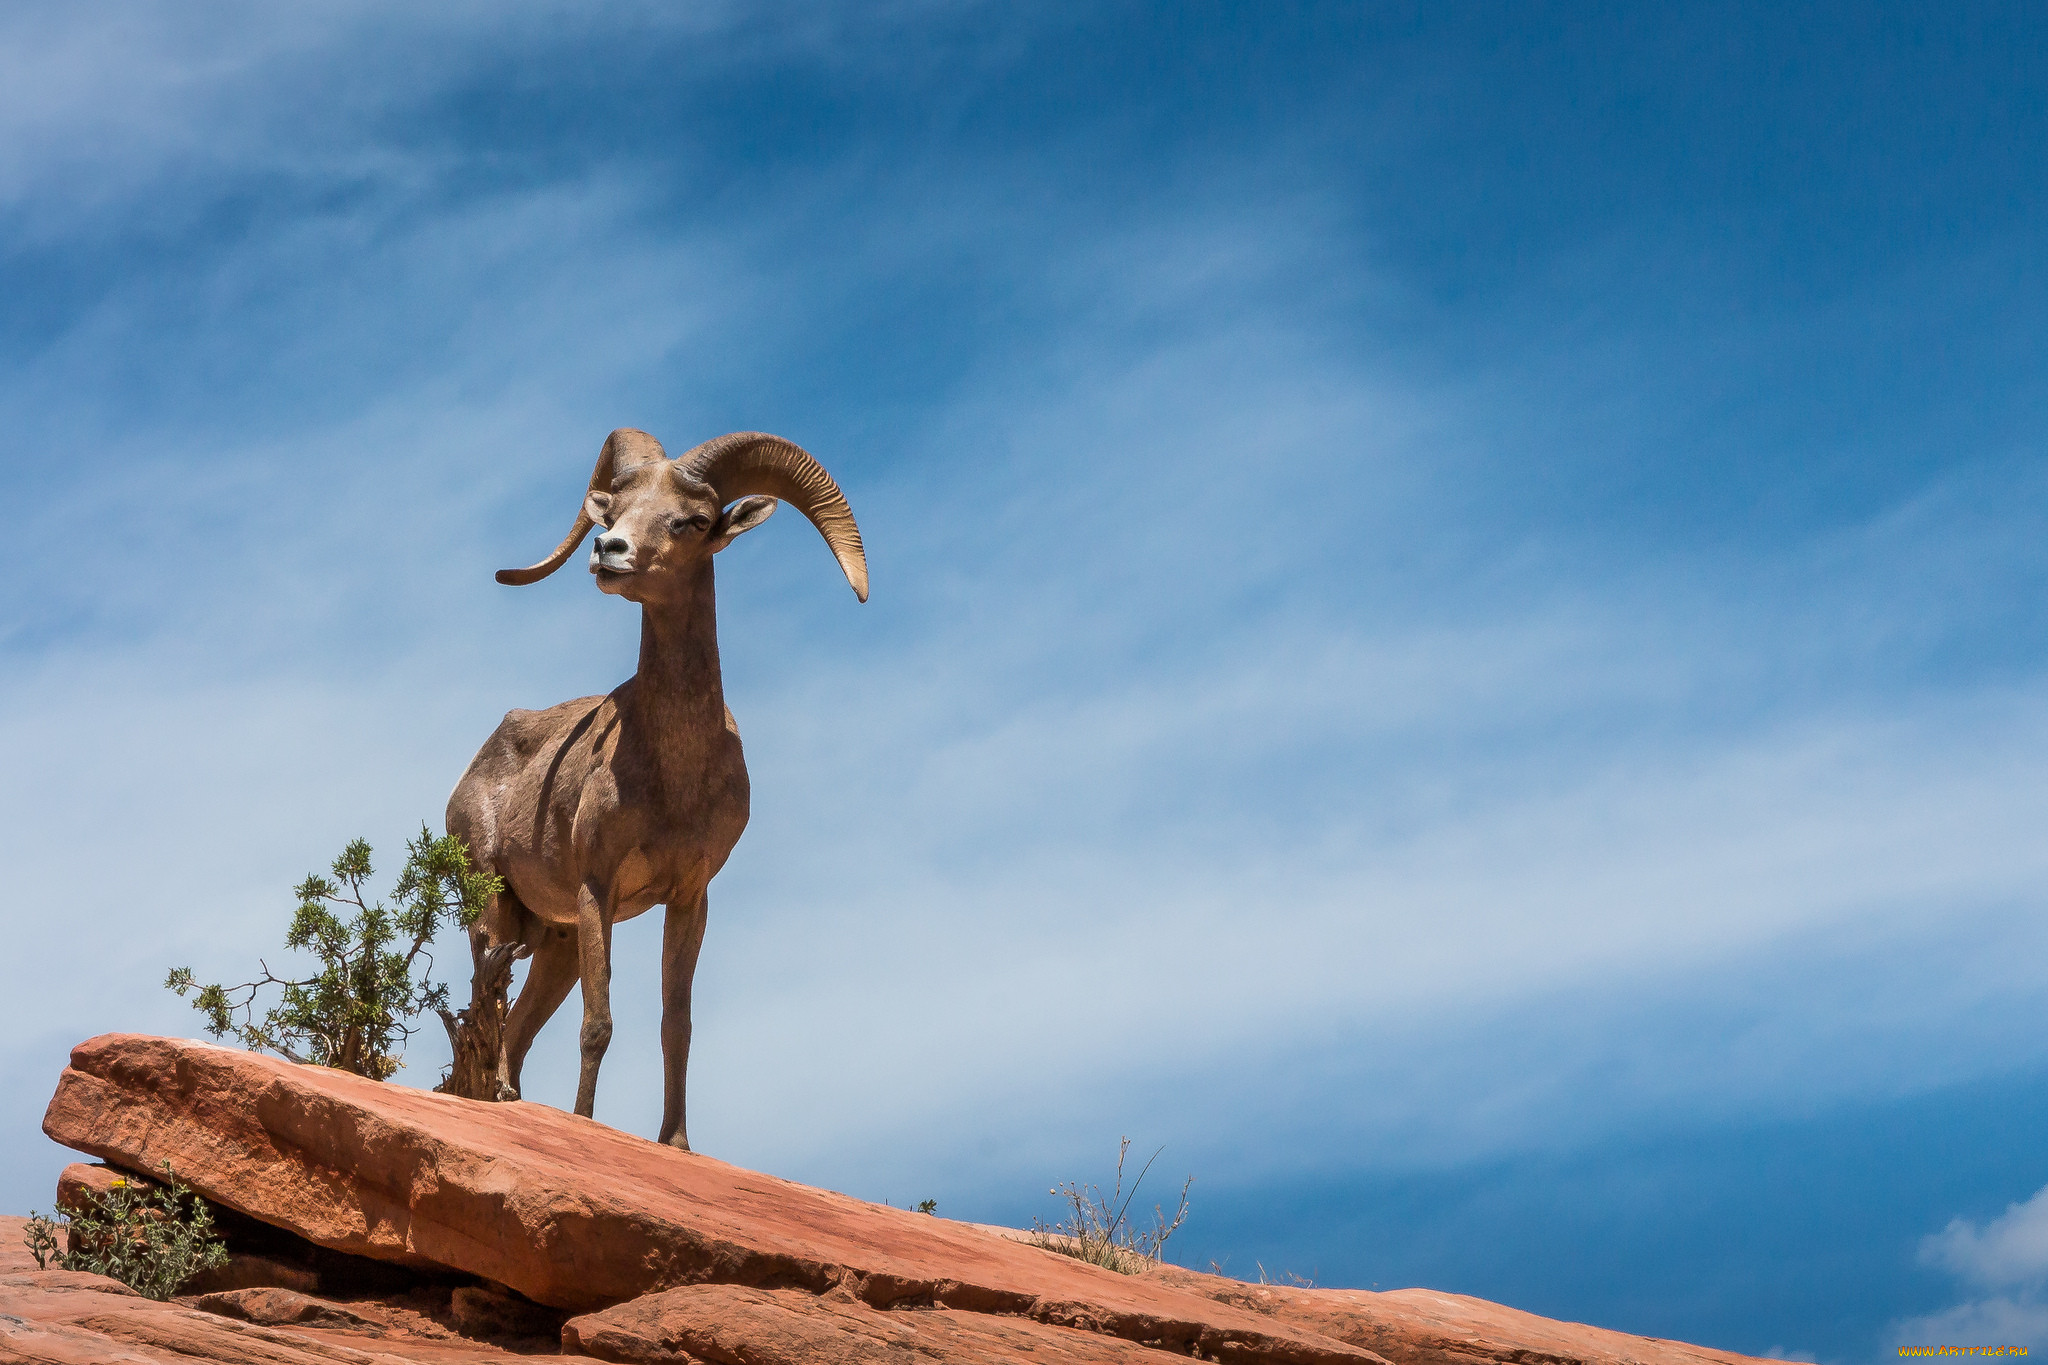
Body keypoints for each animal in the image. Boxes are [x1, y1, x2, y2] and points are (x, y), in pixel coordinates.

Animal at [448, 423, 864, 1146]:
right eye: (612, 510)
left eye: (692, 520)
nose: (607, 551)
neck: (676, 779)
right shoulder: (597, 889)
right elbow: (598, 1024)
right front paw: (584, 1124)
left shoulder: (689, 897)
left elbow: (678, 1024)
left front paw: (675, 1142)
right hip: (495, 906)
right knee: (491, 1008)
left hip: (553, 942)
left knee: (517, 1029)